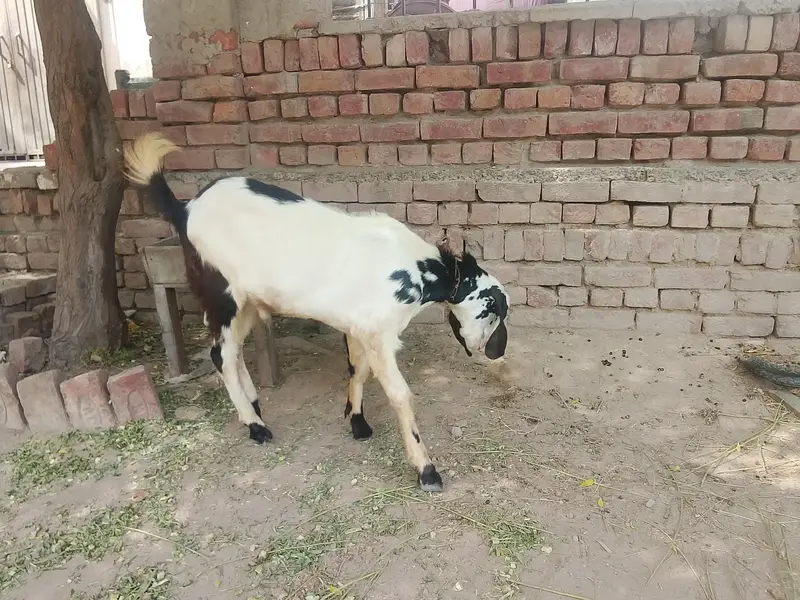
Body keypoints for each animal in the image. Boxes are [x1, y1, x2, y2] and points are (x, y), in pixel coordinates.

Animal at [124, 132, 510, 492]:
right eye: (493, 311)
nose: (491, 351)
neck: (415, 268)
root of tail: (185, 209)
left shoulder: (358, 327)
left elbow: (358, 370)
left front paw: (356, 420)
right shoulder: (378, 333)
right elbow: (400, 395)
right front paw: (426, 469)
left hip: (246, 300)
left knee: (232, 352)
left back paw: (253, 404)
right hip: (223, 292)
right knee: (221, 354)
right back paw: (256, 426)